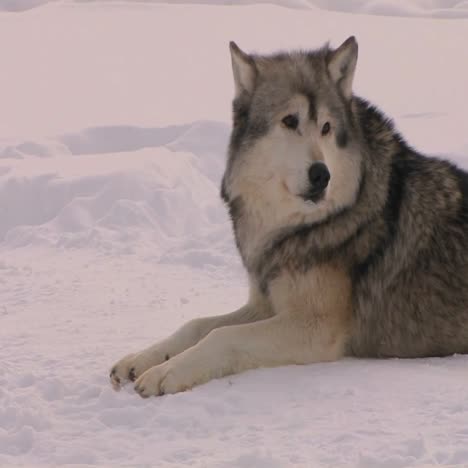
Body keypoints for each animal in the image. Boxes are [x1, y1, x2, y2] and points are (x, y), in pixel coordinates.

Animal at [109, 36, 468, 396]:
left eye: (326, 128)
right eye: (290, 121)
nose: (322, 175)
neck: (296, 227)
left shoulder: (314, 327)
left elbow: (220, 335)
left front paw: (165, 372)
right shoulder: (265, 305)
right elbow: (196, 326)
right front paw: (141, 360)